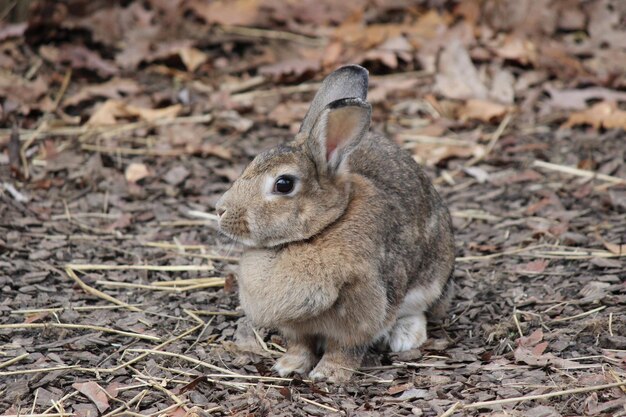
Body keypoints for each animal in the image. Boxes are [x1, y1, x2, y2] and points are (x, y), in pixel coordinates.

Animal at [214, 64, 454, 380]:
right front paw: (288, 366)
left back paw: (404, 339)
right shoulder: (295, 328)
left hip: (431, 278)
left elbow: (345, 349)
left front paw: (328, 374)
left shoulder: (362, 315)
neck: (316, 232)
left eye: (283, 184)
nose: (220, 210)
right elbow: (300, 345)